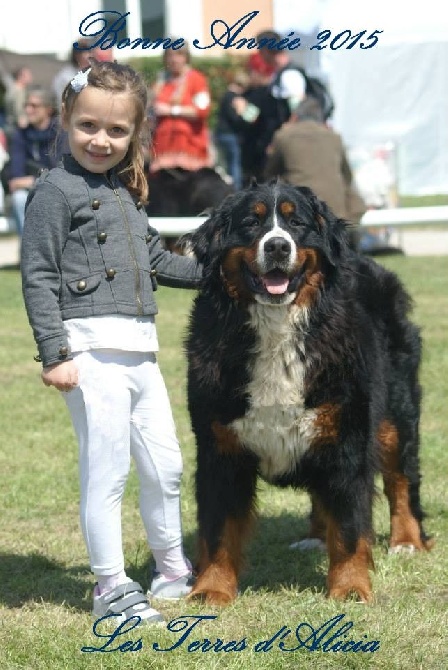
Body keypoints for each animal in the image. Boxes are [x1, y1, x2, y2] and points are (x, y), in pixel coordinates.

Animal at [184, 181, 432, 608]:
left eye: (296, 223)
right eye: (251, 222)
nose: (278, 247)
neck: (276, 329)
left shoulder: (348, 436)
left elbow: (349, 526)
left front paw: (350, 588)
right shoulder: (220, 447)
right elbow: (218, 530)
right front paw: (210, 589)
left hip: (393, 416)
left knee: (401, 478)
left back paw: (406, 541)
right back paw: (316, 537)